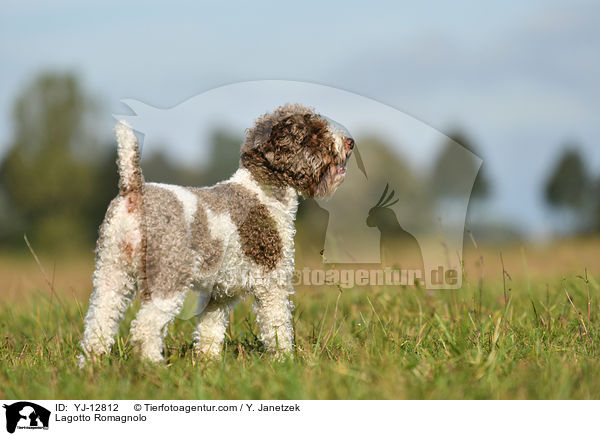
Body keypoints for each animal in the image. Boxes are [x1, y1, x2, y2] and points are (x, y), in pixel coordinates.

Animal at [78, 104, 354, 362]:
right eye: (315, 133)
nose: (350, 143)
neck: (263, 191)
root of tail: (133, 192)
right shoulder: (272, 281)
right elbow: (278, 326)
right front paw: (285, 361)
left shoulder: (219, 294)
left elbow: (210, 330)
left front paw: (209, 363)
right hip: (167, 277)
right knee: (145, 327)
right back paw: (152, 366)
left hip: (111, 273)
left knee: (98, 323)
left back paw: (92, 364)